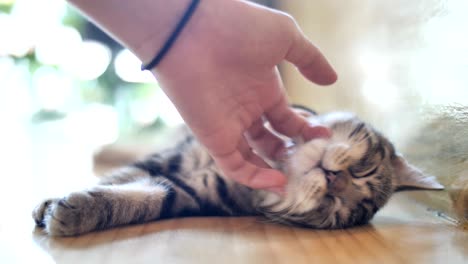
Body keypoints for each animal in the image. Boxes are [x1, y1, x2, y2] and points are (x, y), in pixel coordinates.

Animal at [32, 106, 442, 236]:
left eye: (335, 209)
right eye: (363, 170)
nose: (333, 181)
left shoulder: (190, 191)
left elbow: (143, 198)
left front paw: (75, 211)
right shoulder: (172, 155)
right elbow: (118, 177)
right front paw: (54, 200)